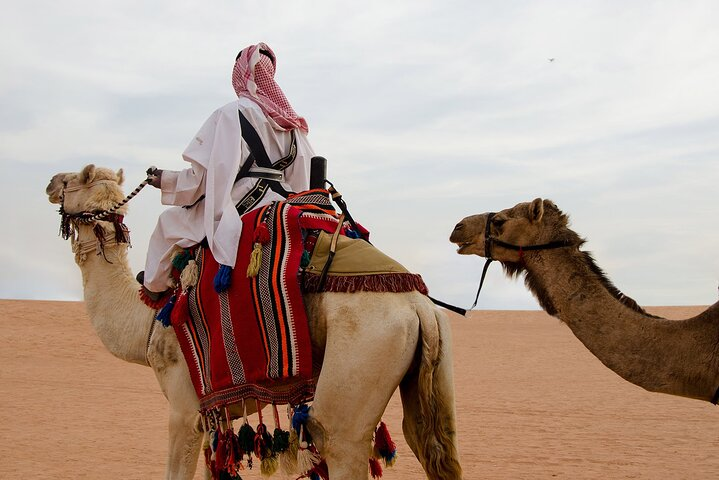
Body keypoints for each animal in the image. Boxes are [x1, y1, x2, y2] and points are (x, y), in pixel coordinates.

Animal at [46, 166, 462, 480]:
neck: (147, 319)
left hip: (362, 361)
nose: (49, 183)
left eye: (72, 180)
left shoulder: (184, 409)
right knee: (427, 443)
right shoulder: (215, 414)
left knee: (337, 437)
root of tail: (419, 306)